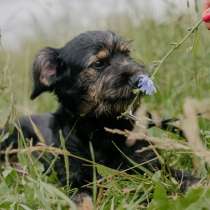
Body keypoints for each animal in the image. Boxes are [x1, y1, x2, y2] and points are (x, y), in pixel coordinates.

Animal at [0, 30, 198, 194]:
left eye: (127, 54)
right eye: (98, 64)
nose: (138, 78)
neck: (102, 125)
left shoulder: (151, 164)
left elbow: (184, 178)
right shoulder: (76, 180)